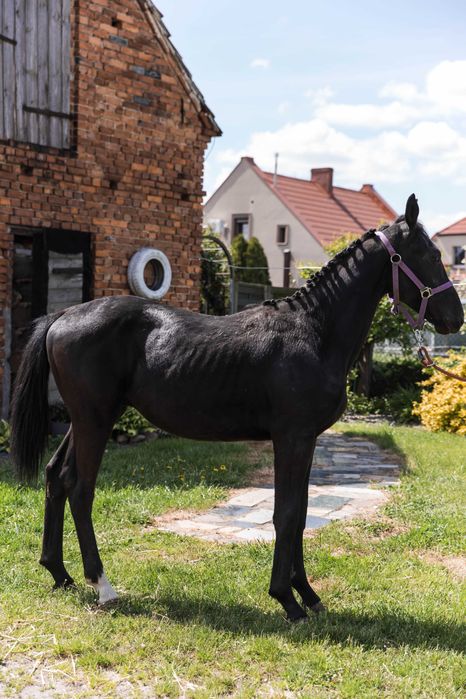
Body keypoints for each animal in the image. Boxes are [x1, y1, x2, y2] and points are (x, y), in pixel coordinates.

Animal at [9, 194, 464, 620]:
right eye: (428, 254)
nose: (455, 318)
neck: (313, 331)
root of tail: (64, 314)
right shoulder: (292, 438)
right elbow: (285, 513)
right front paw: (287, 600)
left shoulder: (308, 440)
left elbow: (301, 513)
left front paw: (309, 595)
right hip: (95, 420)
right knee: (80, 489)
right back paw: (102, 585)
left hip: (87, 419)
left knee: (56, 476)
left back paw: (60, 573)